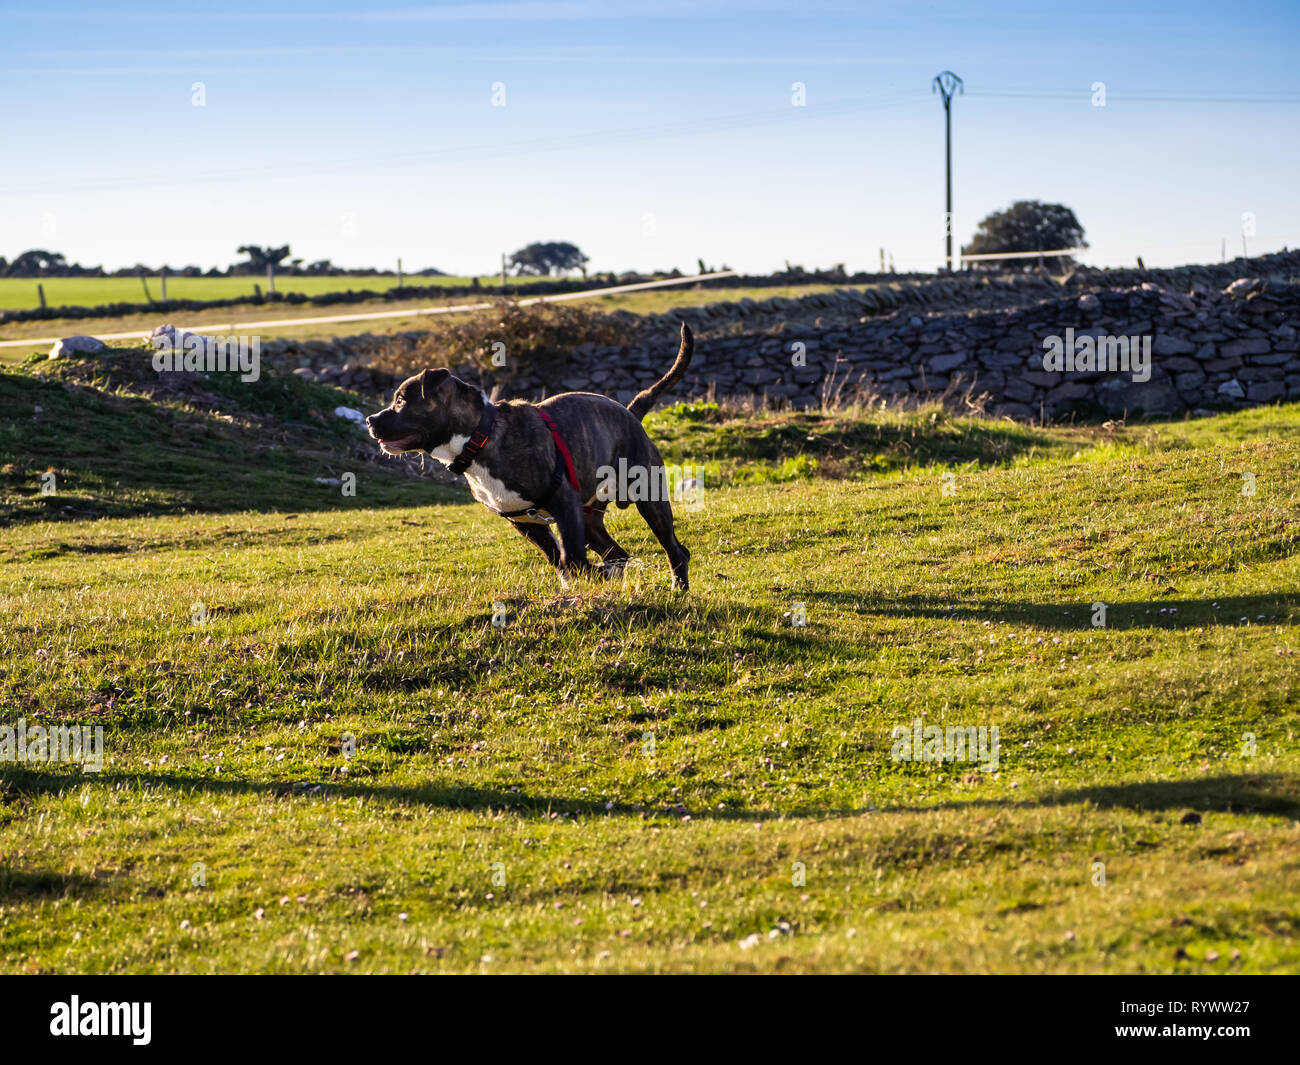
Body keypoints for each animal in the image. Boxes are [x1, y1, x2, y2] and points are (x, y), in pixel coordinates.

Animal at [364, 325, 691, 590]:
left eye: (401, 401)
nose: (369, 419)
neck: (479, 437)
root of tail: (630, 413)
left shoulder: (564, 504)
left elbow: (572, 558)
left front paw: (590, 576)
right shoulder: (525, 521)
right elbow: (559, 559)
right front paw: (584, 580)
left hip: (648, 497)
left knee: (675, 549)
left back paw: (678, 587)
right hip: (590, 518)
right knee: (618, 554)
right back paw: (614, 572)